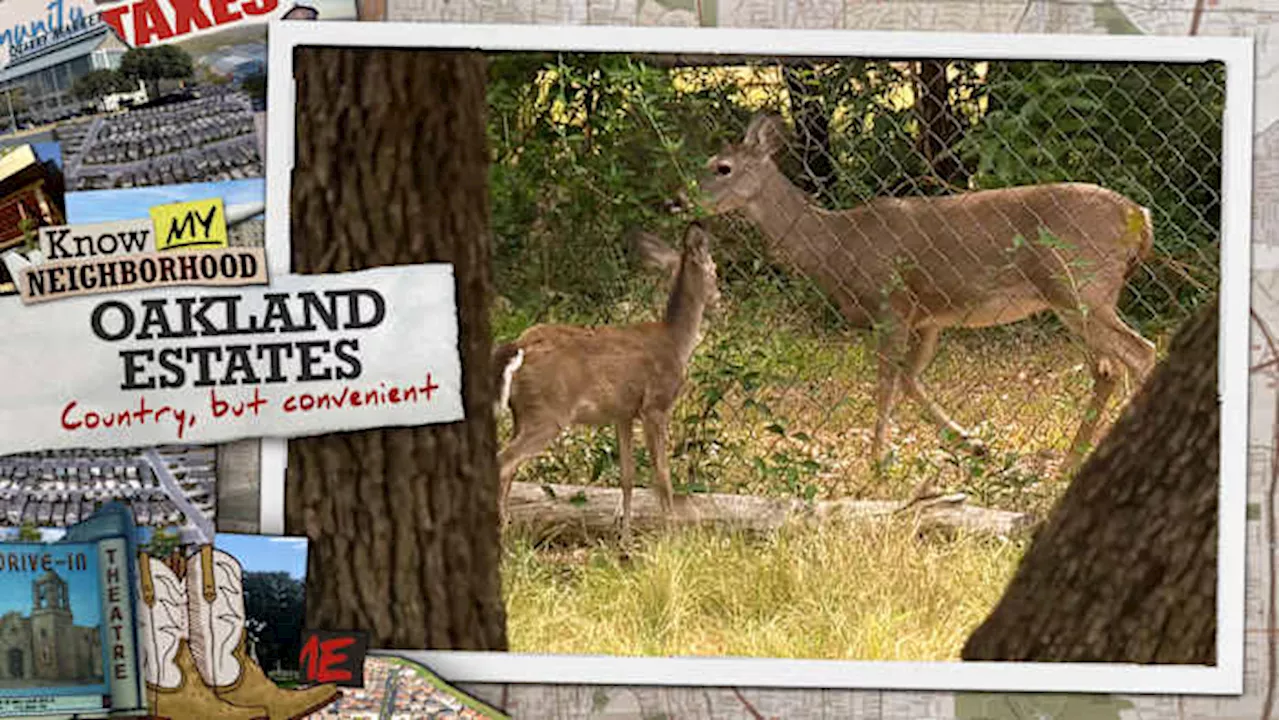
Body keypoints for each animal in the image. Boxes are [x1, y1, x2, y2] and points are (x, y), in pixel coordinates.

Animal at [491, 221, 721, 535]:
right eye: (715, 270)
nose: (720, 300)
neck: (676, 343)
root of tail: (521, 345)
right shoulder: (655, 406)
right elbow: (662, 476)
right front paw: (672, 535)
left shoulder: (623, 413)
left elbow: (627, 477)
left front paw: (625, 537)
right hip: (548, 413)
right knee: (504, 463)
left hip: (523, 414)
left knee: (509, 465)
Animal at [696, 112, 1157, 471]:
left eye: (723, 167)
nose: (685, 199)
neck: (836, 245)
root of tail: (1140, 216)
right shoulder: (928, 317)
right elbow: (910, 379)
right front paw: (973, 445)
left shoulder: (892, 303)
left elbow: (886, 381)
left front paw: (877, 460)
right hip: (1073, 299)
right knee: (1107, 370)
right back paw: (1069, 462)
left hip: (1081, 284)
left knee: (1140, 351)